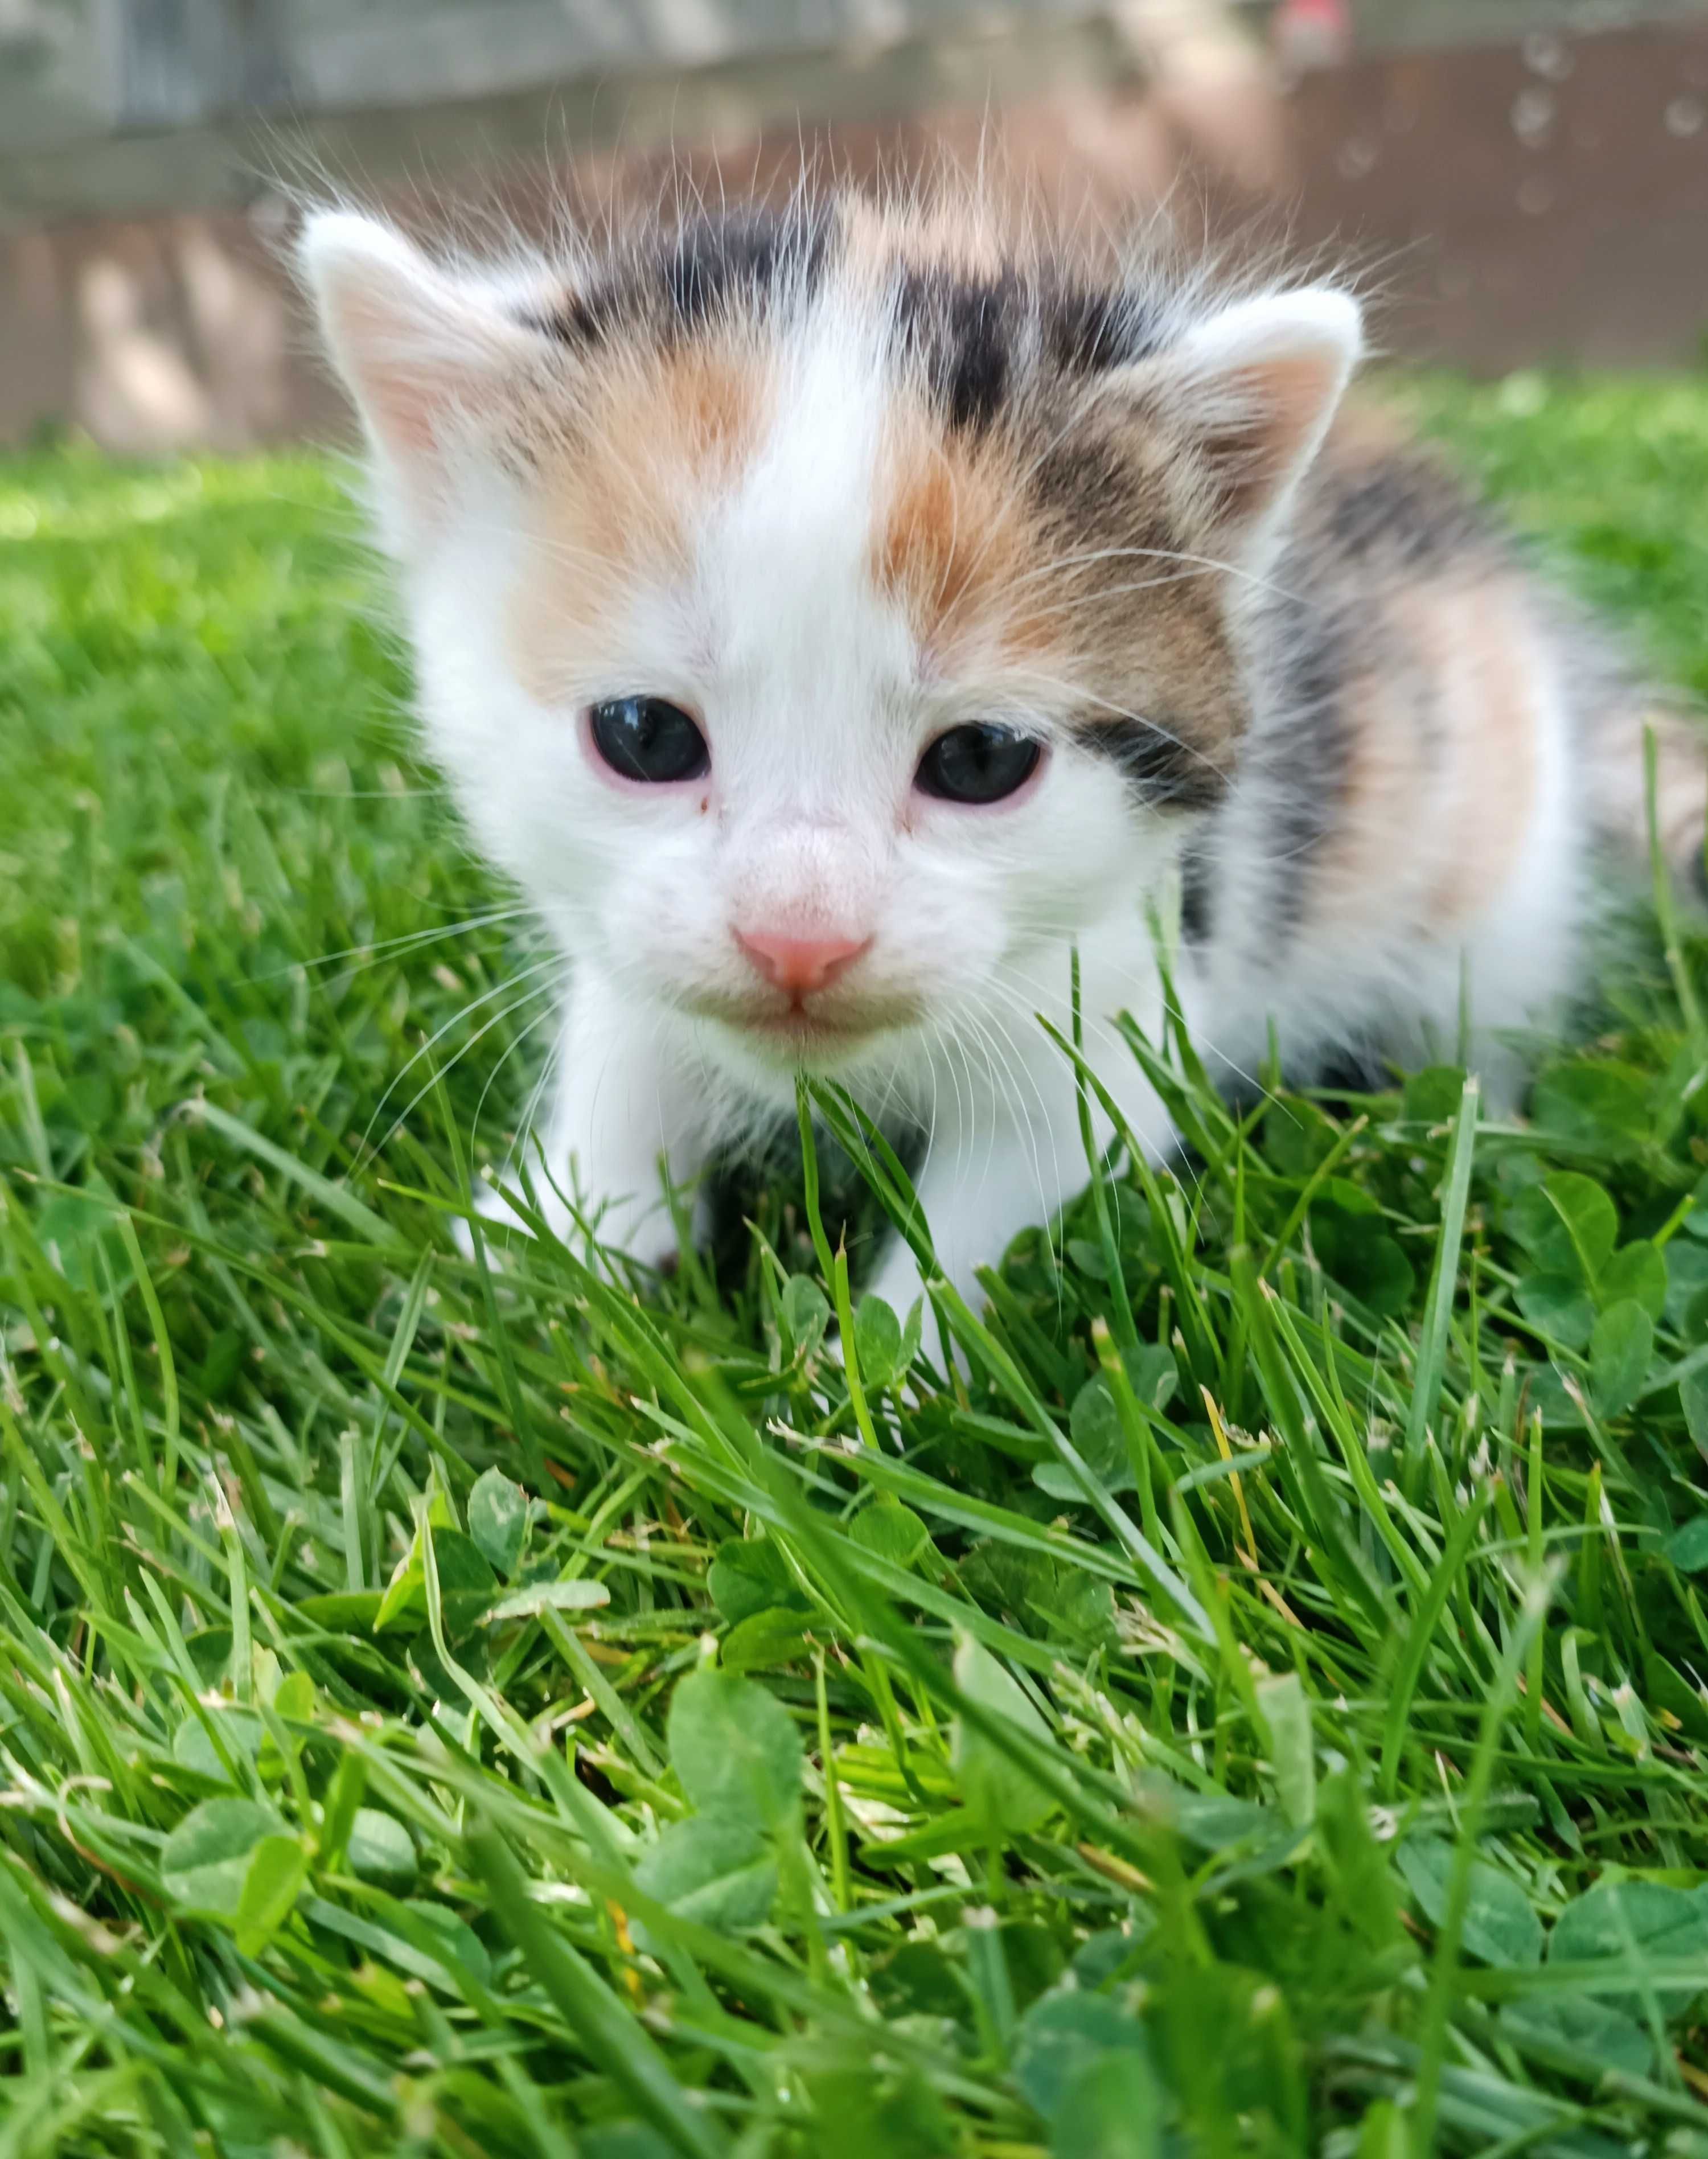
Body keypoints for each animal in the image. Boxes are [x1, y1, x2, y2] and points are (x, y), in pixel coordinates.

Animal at [304, 194, 1708, 1321]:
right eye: (645, 735)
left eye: (981, 760)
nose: (798, 939)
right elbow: (630, 1045)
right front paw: (554, 1234)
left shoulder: (1120, 999)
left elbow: (999, 1209)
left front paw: (880, 1391)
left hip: (1498, 885)